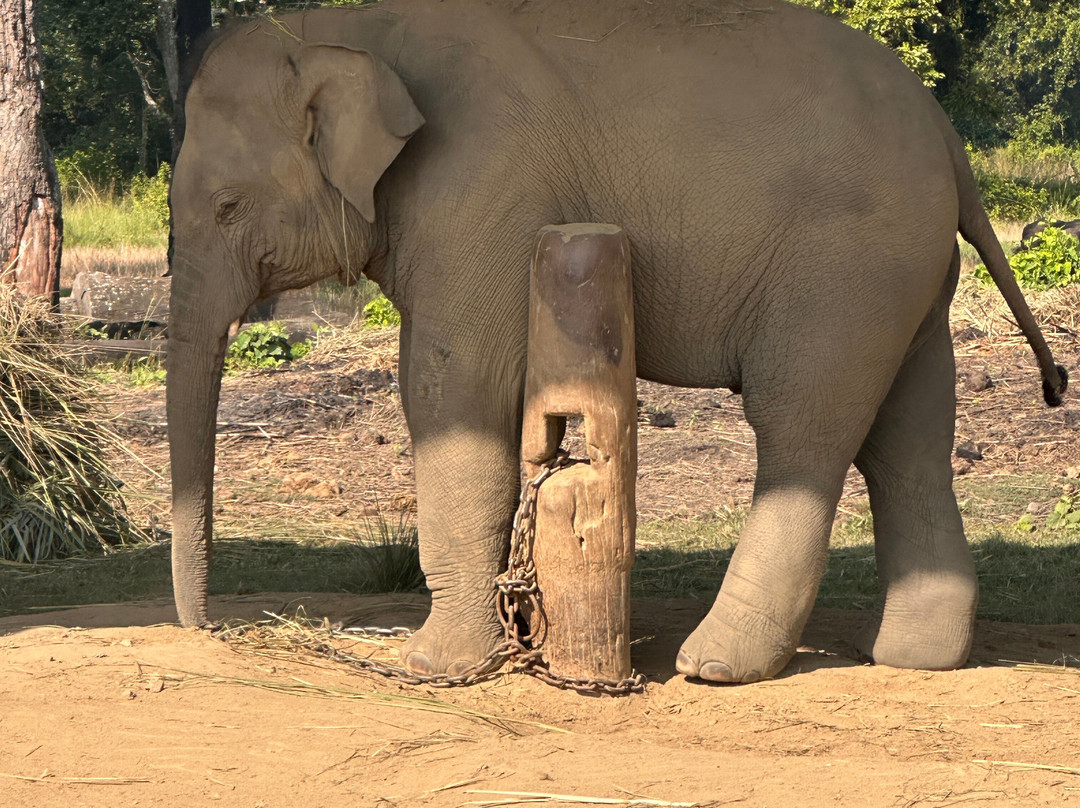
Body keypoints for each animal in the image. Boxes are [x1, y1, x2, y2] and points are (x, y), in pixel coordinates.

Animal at [167, 0, 1067, 684]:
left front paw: (434, 667)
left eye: (227, 207)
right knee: (909, 436)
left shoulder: (479, 194)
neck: (347, 25)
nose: (207, 630)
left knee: (803, 427)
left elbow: (452, 385)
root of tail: (948, 140)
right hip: (907, 279)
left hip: (845, 272)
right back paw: (914, 659)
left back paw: (717, 665)